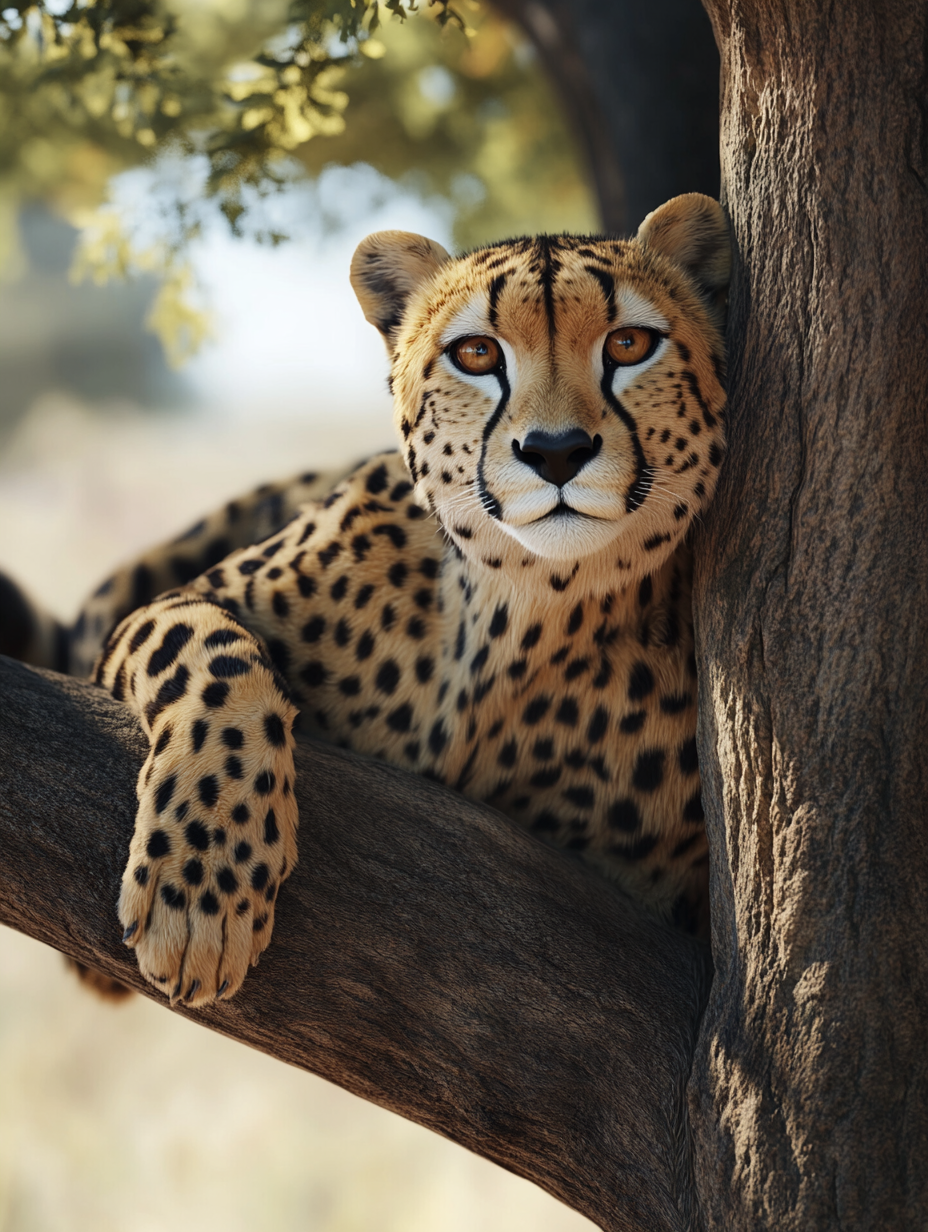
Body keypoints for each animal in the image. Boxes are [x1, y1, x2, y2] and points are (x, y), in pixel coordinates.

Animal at [0, 192, 730, 1009]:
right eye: (477, 354)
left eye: (630, 344)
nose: (556, 452)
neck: (512, 607)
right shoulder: (179, 602)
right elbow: (216, 659)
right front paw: (202, 886)